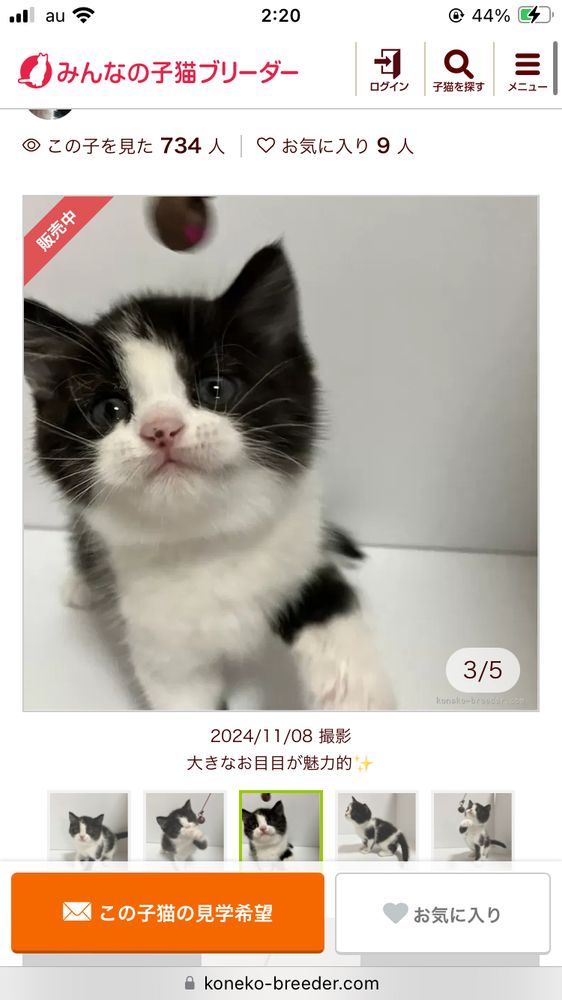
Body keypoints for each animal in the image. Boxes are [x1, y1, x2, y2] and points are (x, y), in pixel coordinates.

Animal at [24, 243, 394, 711]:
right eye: (110, 409)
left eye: (215, 389)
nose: (161, 429)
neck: (208, 538)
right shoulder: (163, 648)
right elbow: (185, 697)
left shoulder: (299, 552)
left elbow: (329, 602)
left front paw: (355, 690)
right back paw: (83, 585)